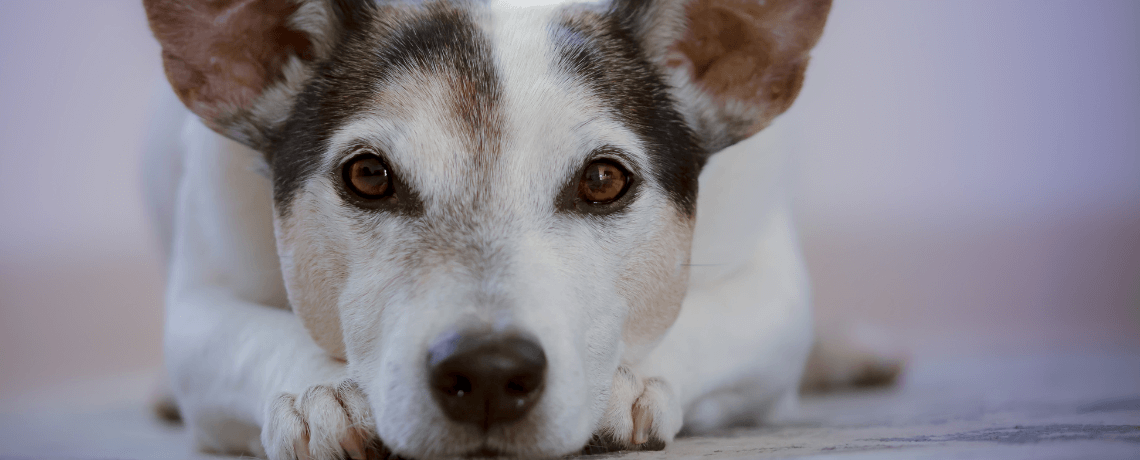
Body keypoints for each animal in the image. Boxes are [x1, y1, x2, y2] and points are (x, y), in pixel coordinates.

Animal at [140, 0, 898, 457]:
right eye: (369, 176)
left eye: (603, 180)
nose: (488, 370)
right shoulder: (198, 301)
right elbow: (244, 334)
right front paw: (318, 393)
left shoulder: (772, 290)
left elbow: (708, 320)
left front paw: (624, 385)